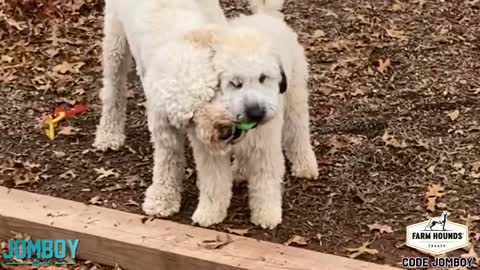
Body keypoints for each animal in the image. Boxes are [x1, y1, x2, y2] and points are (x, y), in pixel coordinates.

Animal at [94, 0, 318, 230]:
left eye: (213, 93)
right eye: (190, 118)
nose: (225, 131)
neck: (179, 41)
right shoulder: (167, 128)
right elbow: (169, 163)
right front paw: (164, 199)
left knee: (297, 129)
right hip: (115, 44)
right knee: (113, 90)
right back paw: (109, 134)